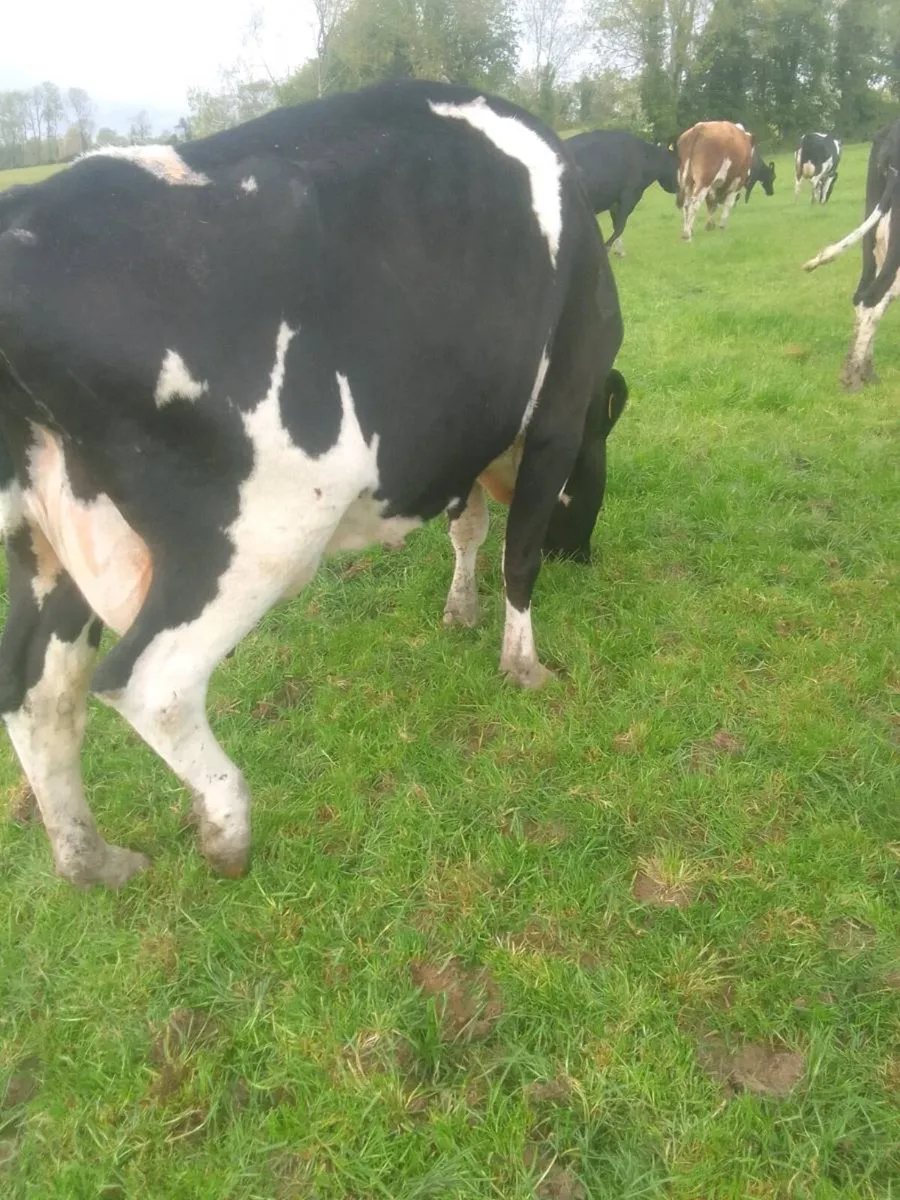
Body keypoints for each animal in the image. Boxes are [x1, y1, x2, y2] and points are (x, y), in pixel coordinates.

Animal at [0, 80, 623, 888]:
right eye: (598, 463)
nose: (585, 555)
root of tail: (25, 207)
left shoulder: (462, 441)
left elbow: (469, 528)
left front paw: (460, 610)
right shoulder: (556, 414)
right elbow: (520, 552)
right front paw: (524, 664)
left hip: (44, 540)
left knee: (37, 693)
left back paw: (95, 861)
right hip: (256, 537)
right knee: (146, 682)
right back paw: (227, 826)